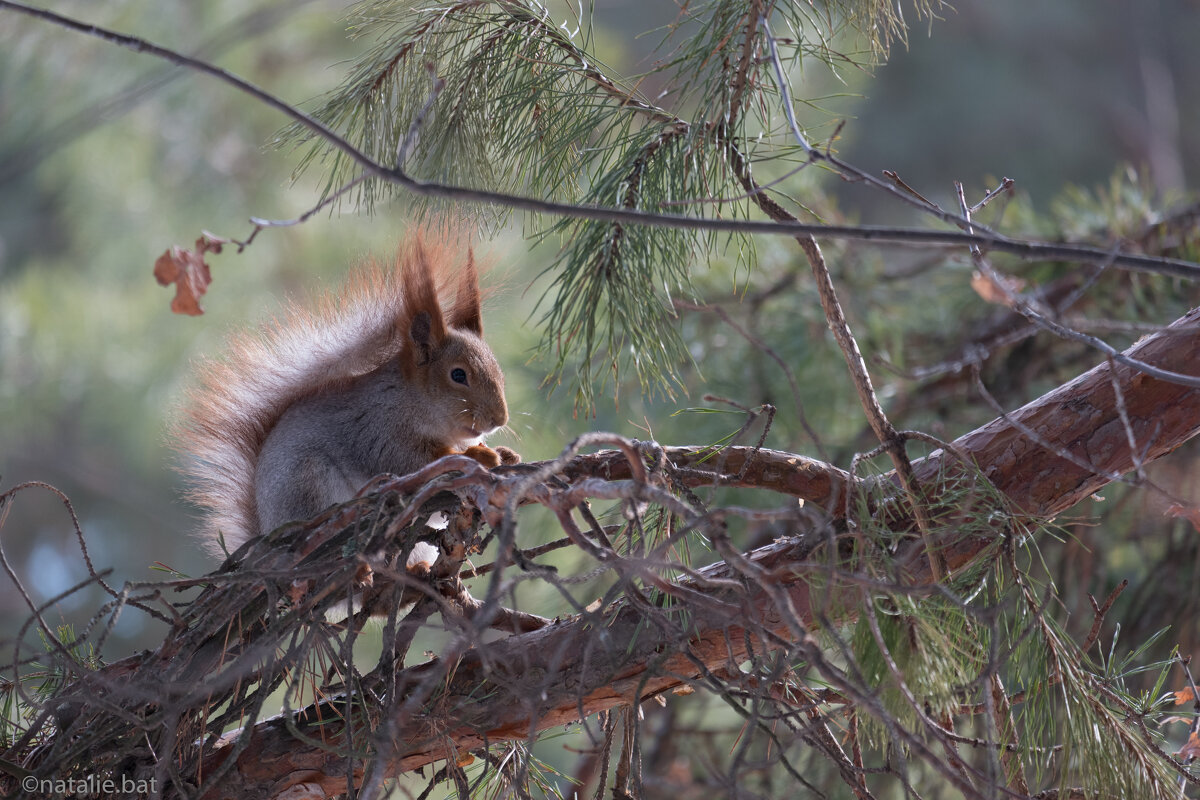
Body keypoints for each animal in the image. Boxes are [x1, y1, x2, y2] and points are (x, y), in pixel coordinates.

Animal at [175, 235, 518, 554]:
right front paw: (477, 456)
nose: (500, 419)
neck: (413, 400)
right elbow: (417, 462)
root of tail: (267, 531)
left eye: (499, 371)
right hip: (308, 482)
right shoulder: (378, 431)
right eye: (458, 375)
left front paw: (504, 453)